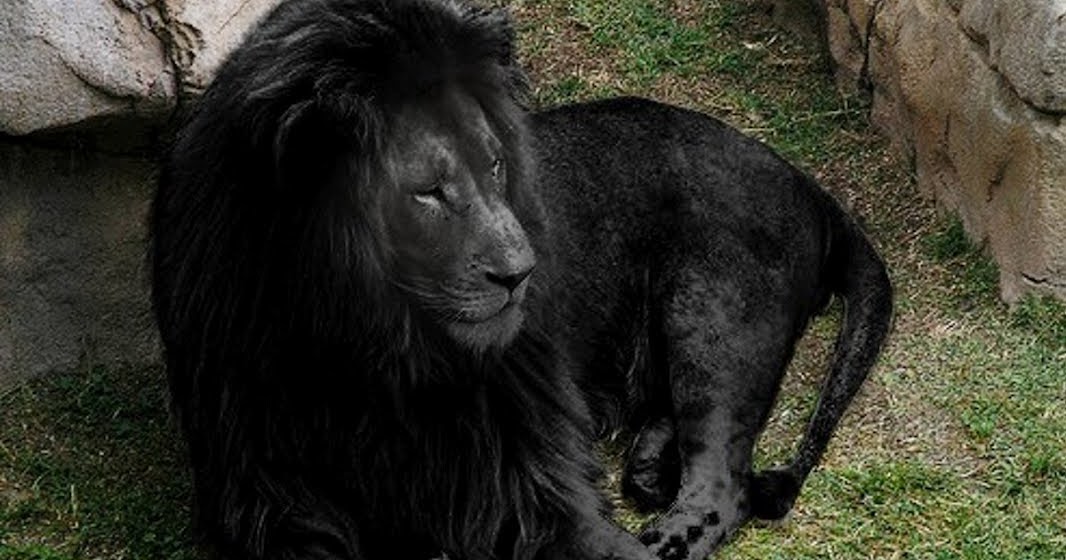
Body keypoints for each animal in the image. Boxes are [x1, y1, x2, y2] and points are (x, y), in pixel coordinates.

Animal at [150, 1, 892, 559]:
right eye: (428, 192)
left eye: (498, 165)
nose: (523, 272)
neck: (374, 355)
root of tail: (803, 180)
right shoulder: (271, 494)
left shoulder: (528, 479)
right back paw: (649, 464)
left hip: (717, 316)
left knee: (724, 485)